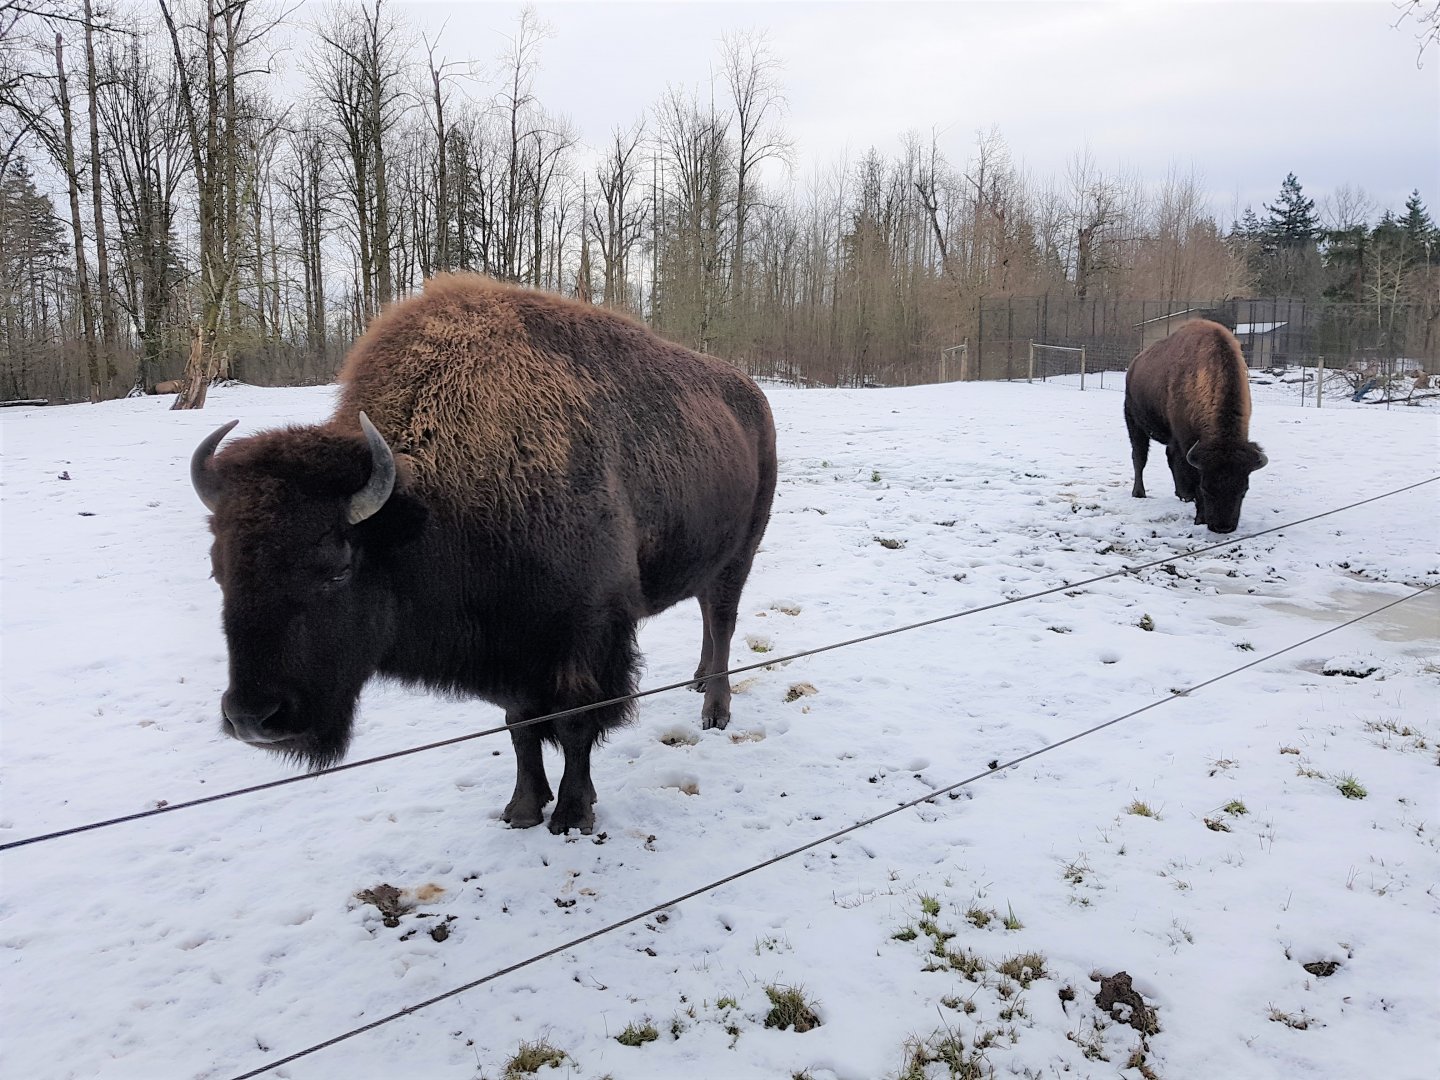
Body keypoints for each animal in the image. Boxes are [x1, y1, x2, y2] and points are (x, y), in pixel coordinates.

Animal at [191, 274, 777, 834]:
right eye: (218, 571)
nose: (253, 718)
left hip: (740, 556)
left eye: (337, 570)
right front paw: (522, 809)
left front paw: (572, 814)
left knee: (722, 621)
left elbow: (575, 723)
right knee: (707, 617)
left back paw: (715, 711)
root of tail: (752, 395)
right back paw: (698, 680)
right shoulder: (509, 649)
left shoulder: (583, 637)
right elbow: (520, 726)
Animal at [1124, 319, 1267, 534]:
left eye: (1244, 488)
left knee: (1168, 457)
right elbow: (1189, 473)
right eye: (1206, 488)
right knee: (1139, 457)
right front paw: (1199, 517)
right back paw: (1139, 493)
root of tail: (1134, 366)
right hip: (1135, 423)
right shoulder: (1186, 444)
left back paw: (1183, 495)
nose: (1223, 527)